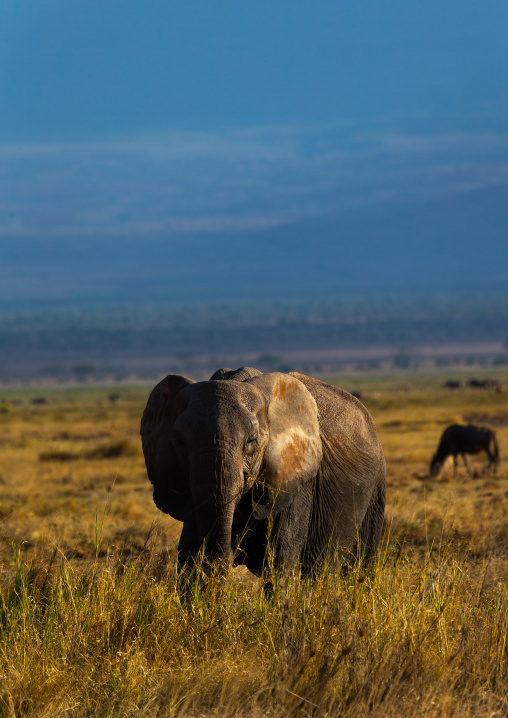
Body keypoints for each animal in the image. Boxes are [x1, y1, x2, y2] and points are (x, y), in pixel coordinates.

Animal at [140, 367, 386, 576]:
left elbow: (281, 559)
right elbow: (187, 558)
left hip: (376, 488)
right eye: (180, 441)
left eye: (251, 441)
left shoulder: (298, 479)